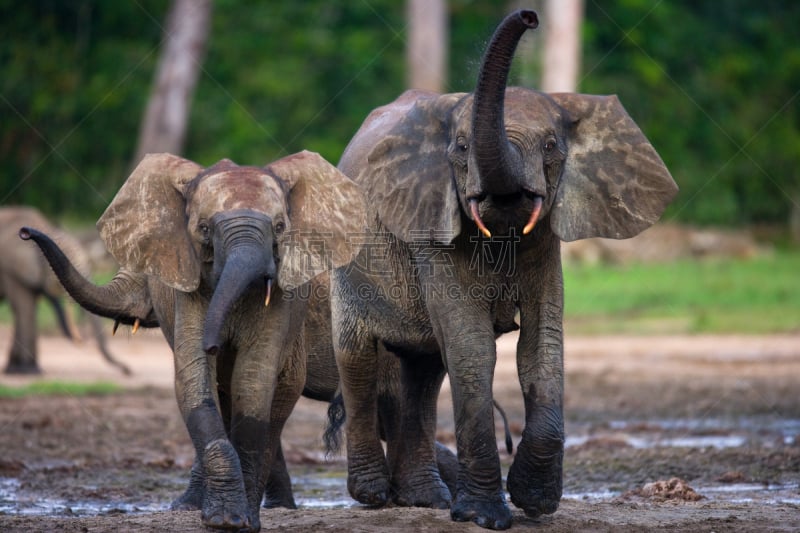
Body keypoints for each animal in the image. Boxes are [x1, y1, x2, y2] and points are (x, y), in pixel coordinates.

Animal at [1, 204, 130, 374]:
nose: (128, 371)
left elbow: (27, 308)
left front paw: (24, 369)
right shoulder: (11, 269)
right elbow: (24, 308)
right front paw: (26, 371)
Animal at [21, 151, 366, 532]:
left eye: (279, 228)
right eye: (203, 229)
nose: (25, 232)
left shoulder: (286, 303)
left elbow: (253, 381)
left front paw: (238, 520)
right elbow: (197, 381)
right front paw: (216, 516)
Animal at [330, 8, 676, 528]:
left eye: (552, 146)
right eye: (460, 147)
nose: (530, 17)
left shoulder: (545, 243)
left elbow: (542, 347)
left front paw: (535, 502)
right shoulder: (432, 229)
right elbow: (474, 350)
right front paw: (486, 517)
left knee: (424, 373)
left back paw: (426, 499)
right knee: (358, 360)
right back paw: (372, 495)